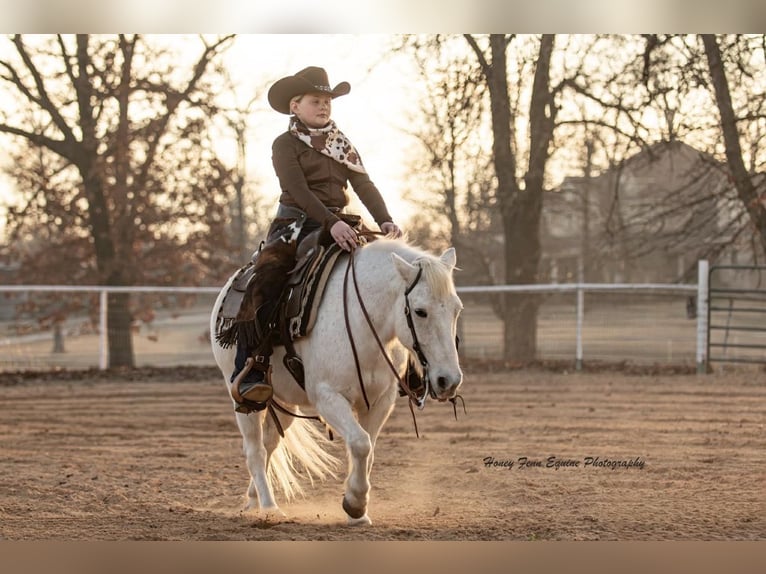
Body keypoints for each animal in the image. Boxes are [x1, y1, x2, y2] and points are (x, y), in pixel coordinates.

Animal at [209, 238, 463, 525]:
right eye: (420, 311)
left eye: (457, 309)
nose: (449, 380)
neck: (363, 321)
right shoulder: (328, 398)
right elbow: (360, 444)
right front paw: (355, 503)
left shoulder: (380, 401)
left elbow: (368, 450)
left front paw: (357, 509)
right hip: (243, 399)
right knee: (255, 450)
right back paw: (269, 506)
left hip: (284, 401)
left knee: (270, 444)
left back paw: (253, 499)